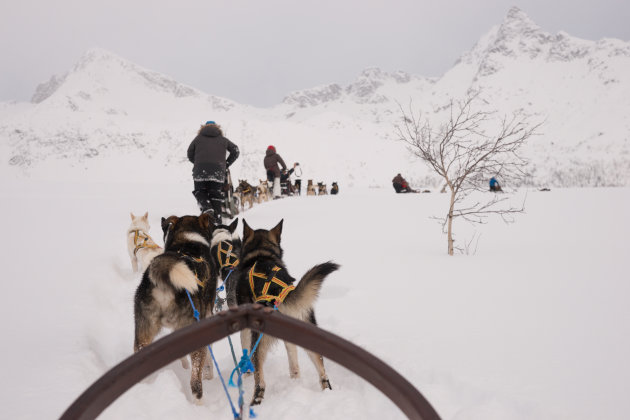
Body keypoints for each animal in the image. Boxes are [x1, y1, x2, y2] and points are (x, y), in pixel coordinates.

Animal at [233, 218, 340, 406]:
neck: (261, 255)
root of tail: (280, 293)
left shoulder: (246, 330)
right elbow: (294, 363)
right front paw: (295, 378)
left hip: (259, 342)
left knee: (260, 382)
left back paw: (254, 402)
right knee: (322, 372)